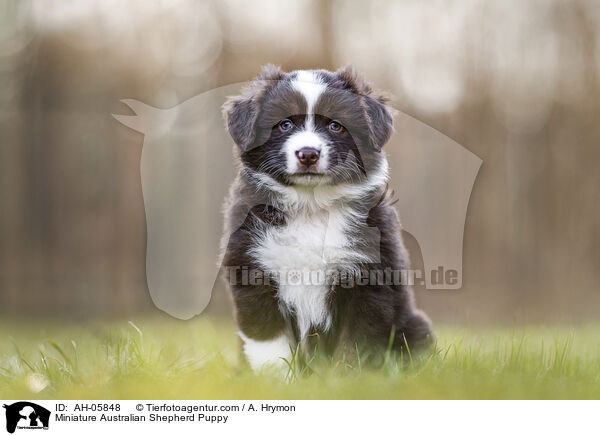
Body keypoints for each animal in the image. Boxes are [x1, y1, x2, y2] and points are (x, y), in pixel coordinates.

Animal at [220, 65, 433, 372]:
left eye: (335, 126)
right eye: (285, 124)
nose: (308, 154)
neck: (311, 207)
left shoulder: (369, 281)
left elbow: (355, 345)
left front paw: (345, 377)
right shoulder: (251, 269)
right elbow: (269, 344)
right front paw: (276, 379)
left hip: (416, 327)